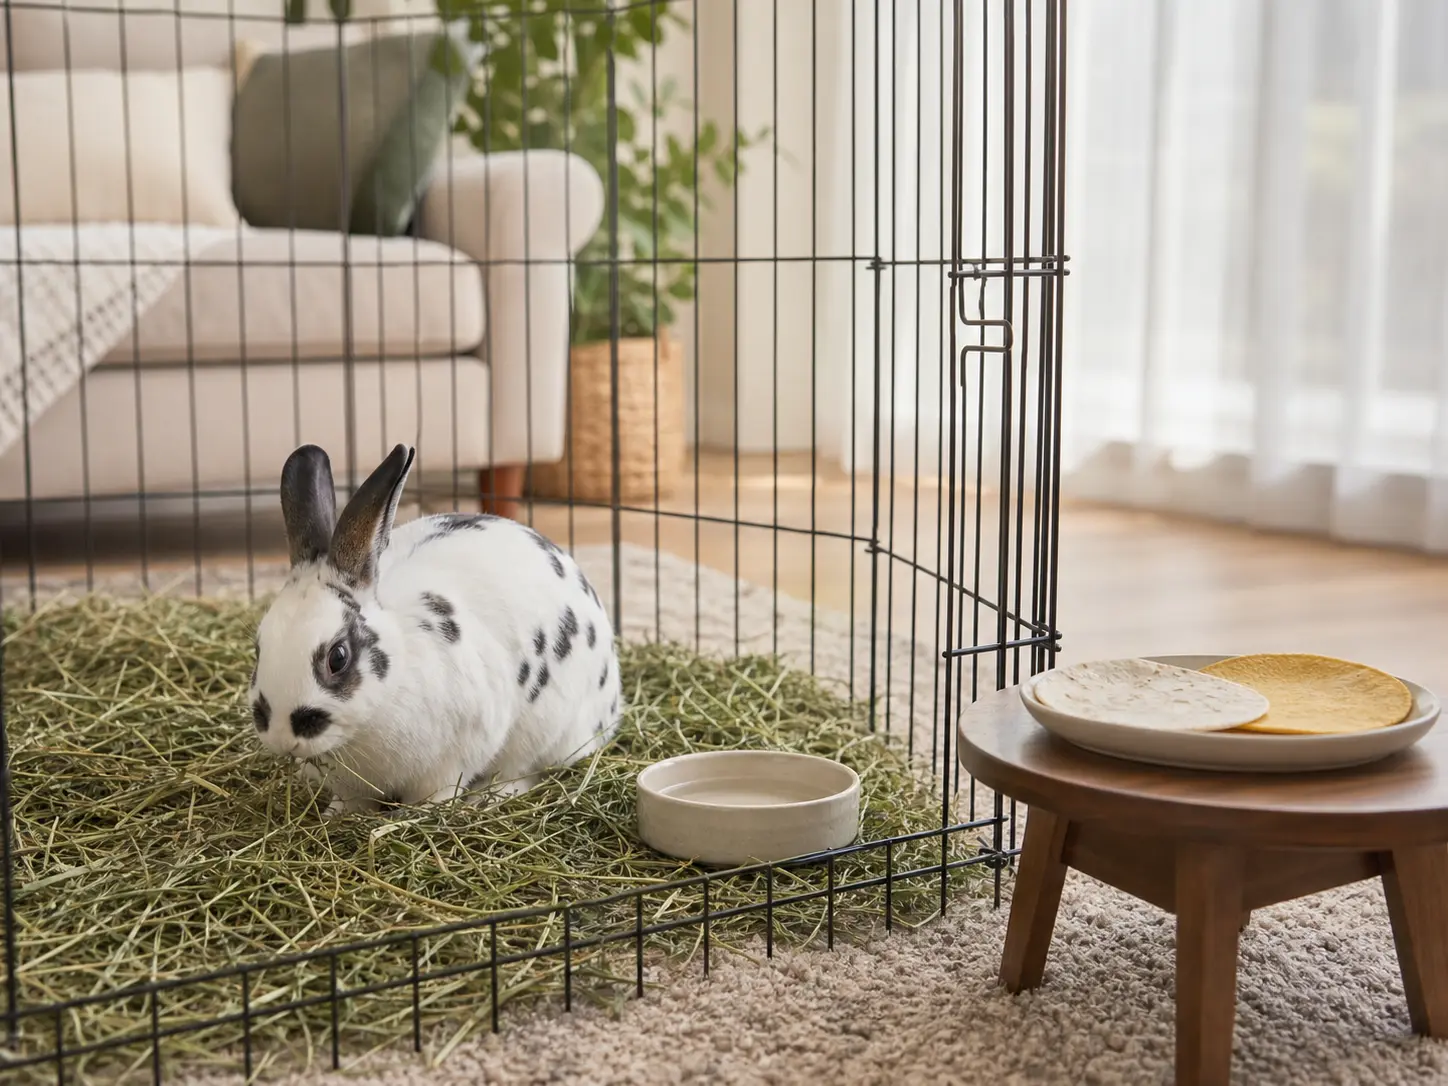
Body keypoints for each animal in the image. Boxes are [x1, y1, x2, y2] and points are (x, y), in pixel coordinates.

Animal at [249, 442, 624, 817]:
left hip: (545, 729)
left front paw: (417, 814)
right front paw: (337, 815)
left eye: (337, 657)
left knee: (522, 771)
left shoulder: (455, 755)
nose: (282, 736)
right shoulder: (350, 785)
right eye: (258, 647)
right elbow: (351, 801)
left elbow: (438, 791)